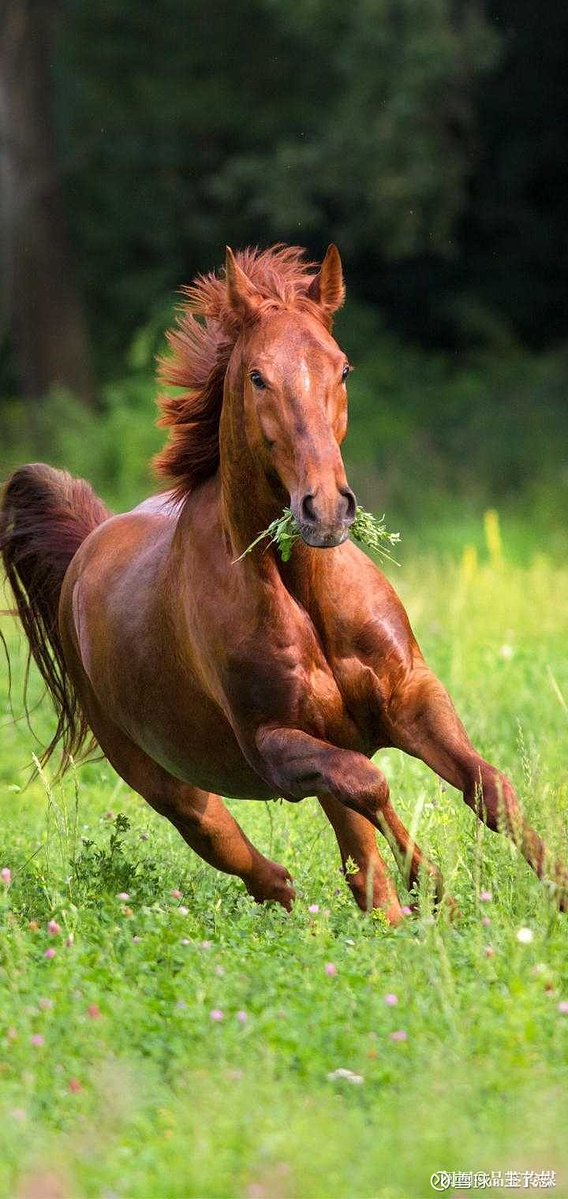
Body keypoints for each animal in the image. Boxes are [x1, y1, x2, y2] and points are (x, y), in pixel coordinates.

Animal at [1, 244, 566, 923]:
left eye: (342, 369)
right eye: (256, 377)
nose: (323, 509)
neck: (303, 591)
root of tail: (86, 550)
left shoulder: (412, 697)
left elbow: (489, 789)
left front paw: (553, 894)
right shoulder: (273, 748)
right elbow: (374, 789)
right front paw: (438, 894)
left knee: (347, 859)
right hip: (175, 790)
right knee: (266, 867)